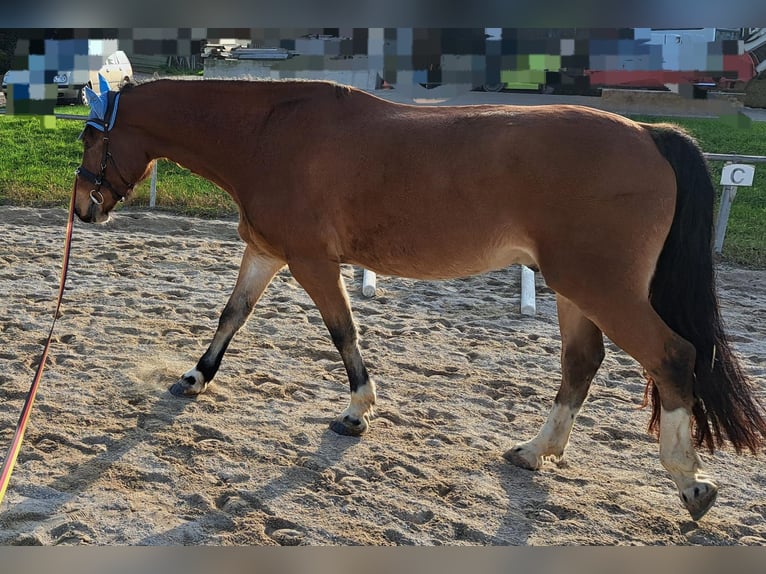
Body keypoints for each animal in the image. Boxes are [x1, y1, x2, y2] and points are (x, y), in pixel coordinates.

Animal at [73, 79, 766, 524]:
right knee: (582, 363)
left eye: (88, 141)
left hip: (601, 287)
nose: (83, 209)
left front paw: (357, 411)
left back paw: (689, 483)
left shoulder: (312, 262)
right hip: (574, 290)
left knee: (671, 356)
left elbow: (343, 331)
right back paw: (534, 452)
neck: (272, 132)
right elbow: (232, 314)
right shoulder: (267, 252)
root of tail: (648, 133)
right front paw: (194, 378)